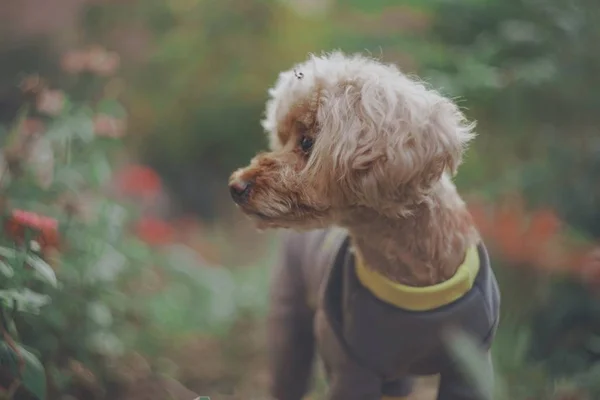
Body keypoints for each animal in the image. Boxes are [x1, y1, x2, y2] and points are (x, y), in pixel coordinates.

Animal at [227, 52, 500, 400]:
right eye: (282, 138)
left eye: (307, 142)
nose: (236, 187)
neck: (413, 275)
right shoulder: (351, 368)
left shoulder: (469, 365)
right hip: (288, 324)